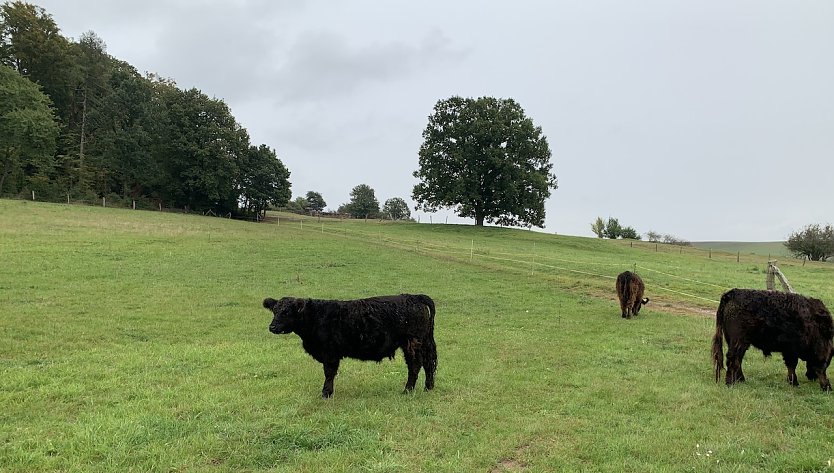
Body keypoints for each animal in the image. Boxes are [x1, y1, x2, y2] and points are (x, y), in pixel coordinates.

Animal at [264, 294, 438, 396]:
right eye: (274, 311)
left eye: (286, 312)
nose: (272, 327)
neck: (316, 317)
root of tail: (413, 296)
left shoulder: (330, 353)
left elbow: (329, 373)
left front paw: (326, 393)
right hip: (422, 342)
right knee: (428, 363)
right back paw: (428, 387)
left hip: (411, 343)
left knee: (415, 365)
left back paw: (407, 390)